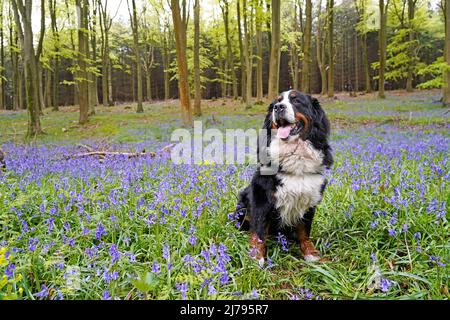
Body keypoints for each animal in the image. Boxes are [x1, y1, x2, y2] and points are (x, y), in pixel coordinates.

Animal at [234, 89, 332, 264]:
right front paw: (256, 257)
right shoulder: (261, 198)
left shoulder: (309, 199)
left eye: (296, 101)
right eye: (276, 102)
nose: (278, 107)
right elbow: (259, 231)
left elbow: (304, 231)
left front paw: (310, 253)